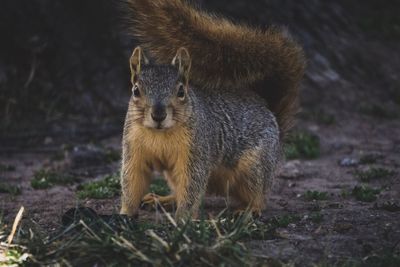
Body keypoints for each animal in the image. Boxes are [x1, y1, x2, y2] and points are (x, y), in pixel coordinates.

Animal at [120, 0, 304, 220]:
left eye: (181, 91)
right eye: (136, 90)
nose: (158, 115)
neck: (160, 133)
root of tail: (269, 111)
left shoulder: (196, 151)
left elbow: (192, 185)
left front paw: (183, 219)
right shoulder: (134, 147)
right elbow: (132, 181)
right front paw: (125, 212)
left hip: (254, 166)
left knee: (259, 195)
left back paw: (249, 209)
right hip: (173, 173)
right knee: (181, 190)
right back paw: (164, 199)